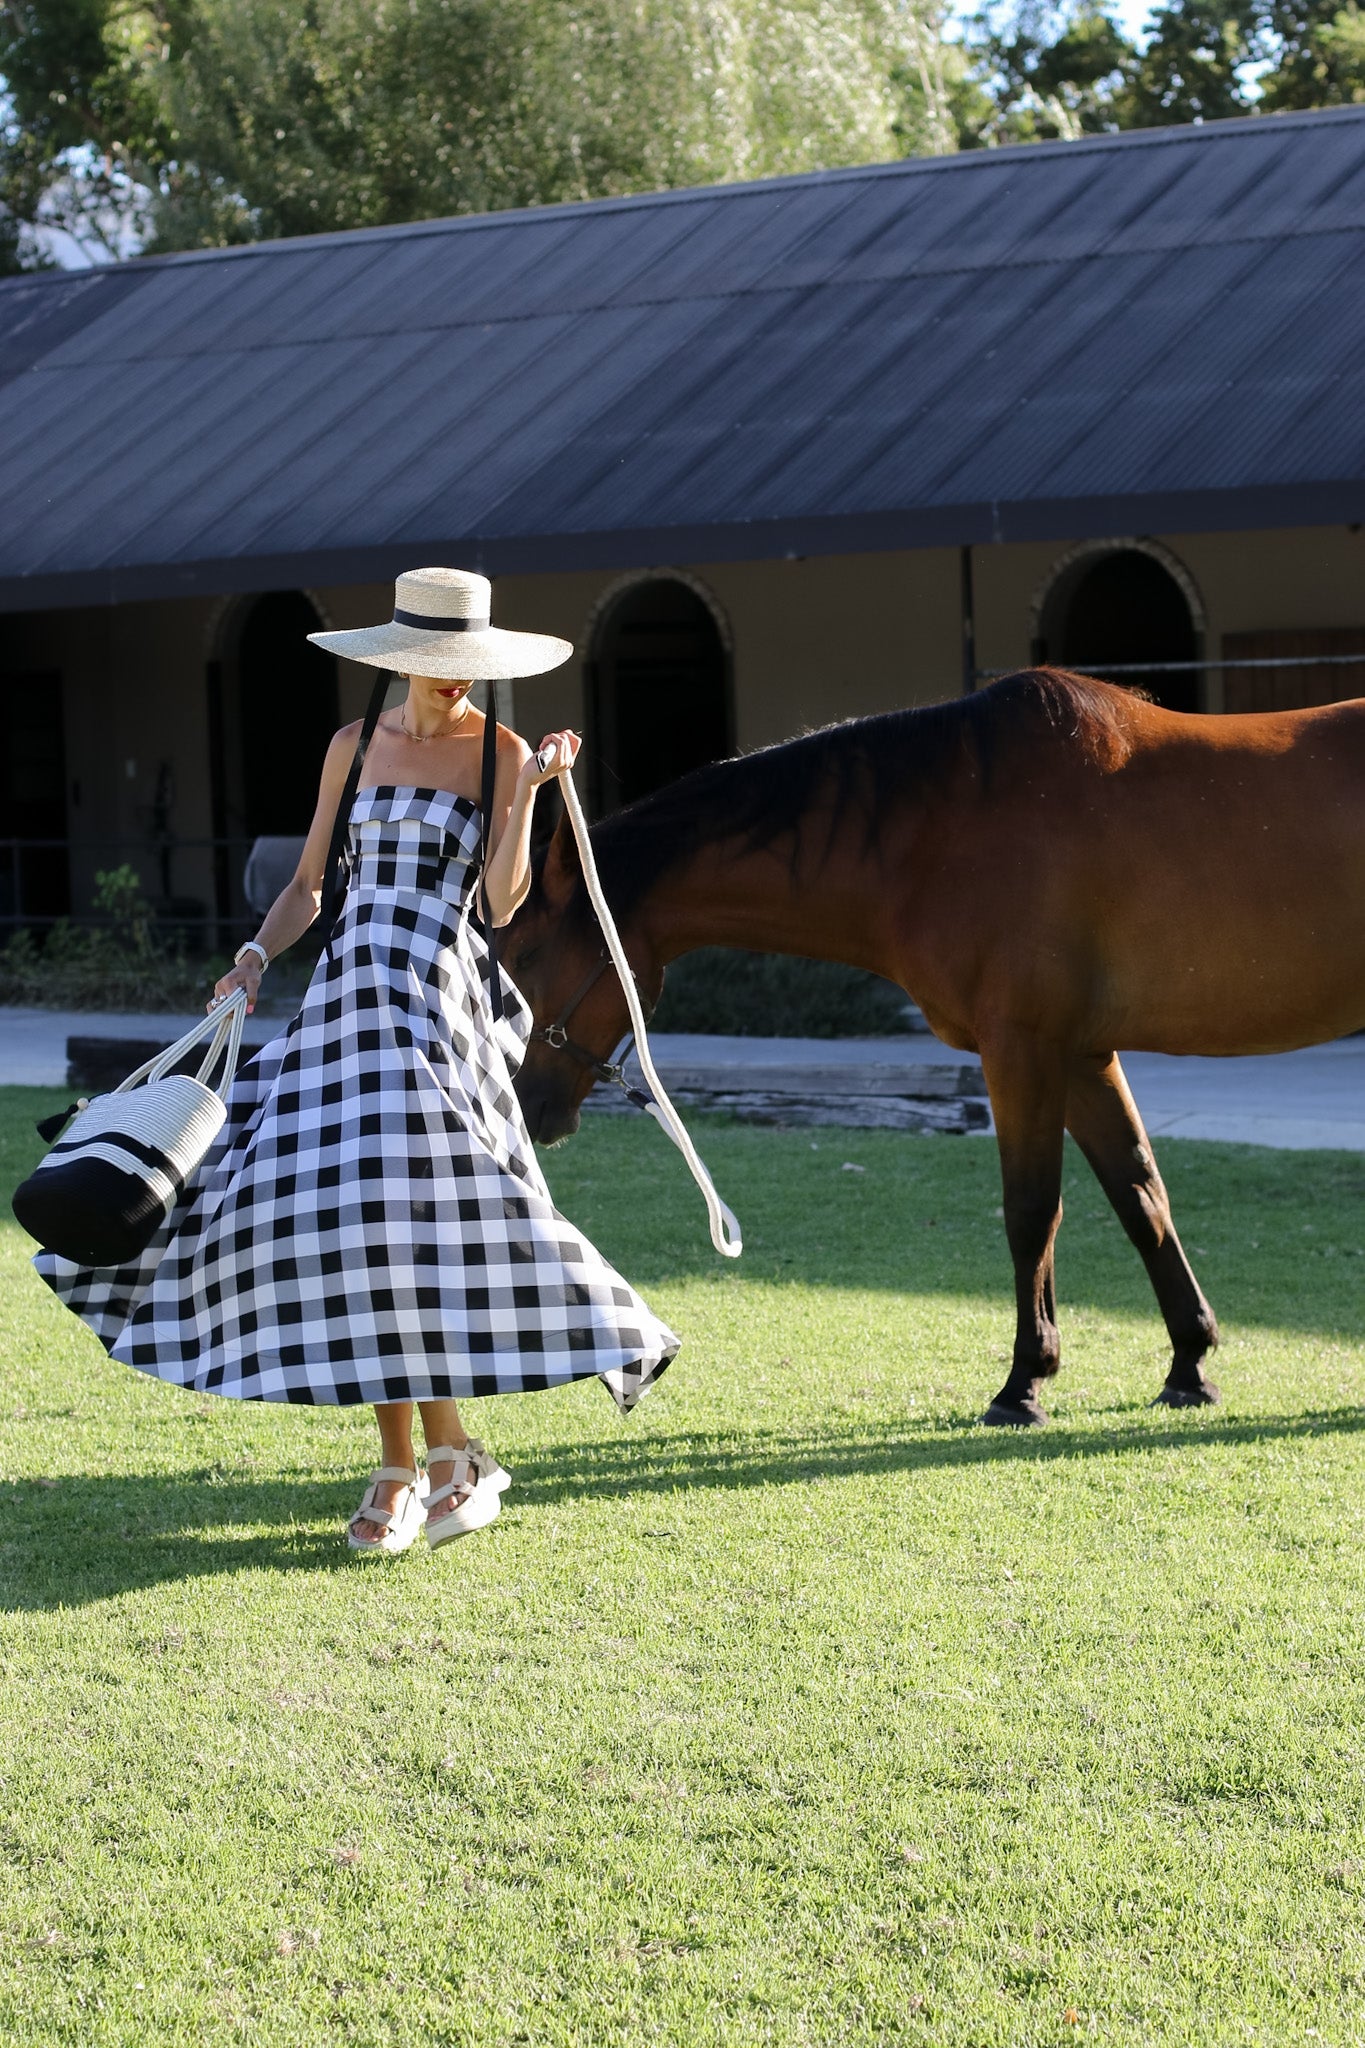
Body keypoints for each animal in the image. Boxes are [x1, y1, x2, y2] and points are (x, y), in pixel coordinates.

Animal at [505, 671, 1365, 1425]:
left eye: (519, 957)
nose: (526, 1105)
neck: (939, 831)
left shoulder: (1022, 1049)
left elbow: (1031, 1210)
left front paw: (1023, 1383)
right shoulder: (1083, 1056)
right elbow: (1140, 1197)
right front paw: (1188, 1365)